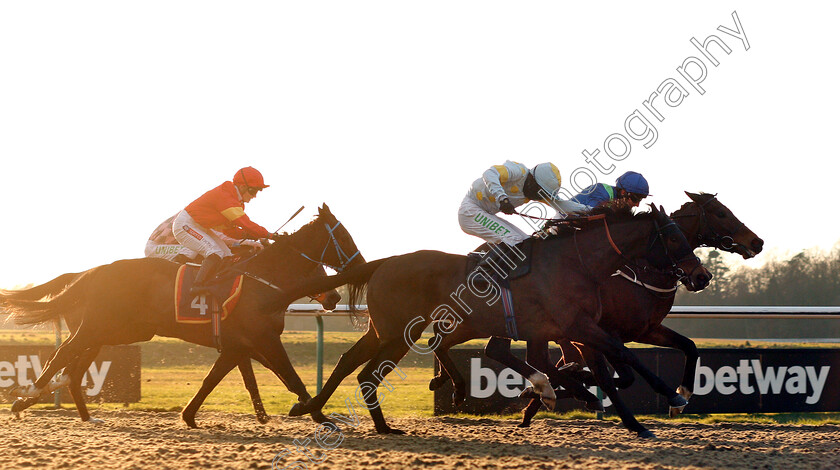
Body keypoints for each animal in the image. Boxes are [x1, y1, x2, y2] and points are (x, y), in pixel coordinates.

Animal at [3, 204, 364, 424]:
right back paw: (27, 395)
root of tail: (88, 273)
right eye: (344, 236)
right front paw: (319, 415)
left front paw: (192, 415)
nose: (335, 296)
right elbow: (290, 376)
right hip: (97, 327)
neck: (262, 280)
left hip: (117, 332)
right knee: (63, 354)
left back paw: (83, 414)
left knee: (74, 368)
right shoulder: (261, 339)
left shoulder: (241, 344)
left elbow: (219, 378)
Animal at [282, 206, 708, 436]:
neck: (577, 262)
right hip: (400, 332)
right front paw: (670, 399)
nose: (701, 276)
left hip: (386, 330)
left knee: (351, 363)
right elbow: (622, 360)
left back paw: (322, 410)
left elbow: (592, 368)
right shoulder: (580, 327)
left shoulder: (563, 330)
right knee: (369, 371)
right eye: (673, 238)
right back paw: (381, 422)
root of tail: (385, 261)